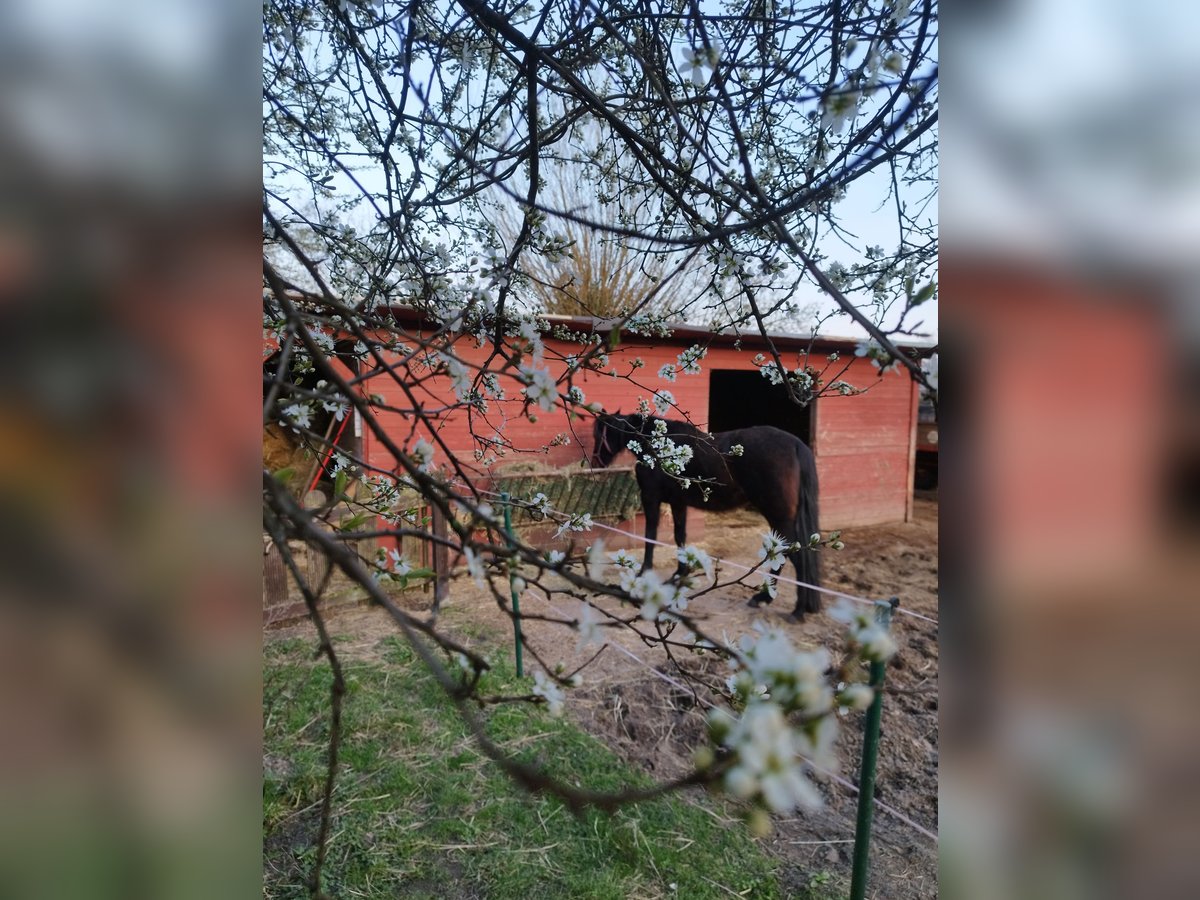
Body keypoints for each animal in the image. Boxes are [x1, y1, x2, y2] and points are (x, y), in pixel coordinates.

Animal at [591, 413, 822, 619]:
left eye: (599, 435)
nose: (595, 464)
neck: (656, 445)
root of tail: (796, 445)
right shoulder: (678, 503)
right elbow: (680, 537)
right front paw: (679, 574)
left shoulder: (651, 499)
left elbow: (650, 537)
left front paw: (643, 574)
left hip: (778, 517)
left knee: (792, 556)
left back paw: (793, 608)